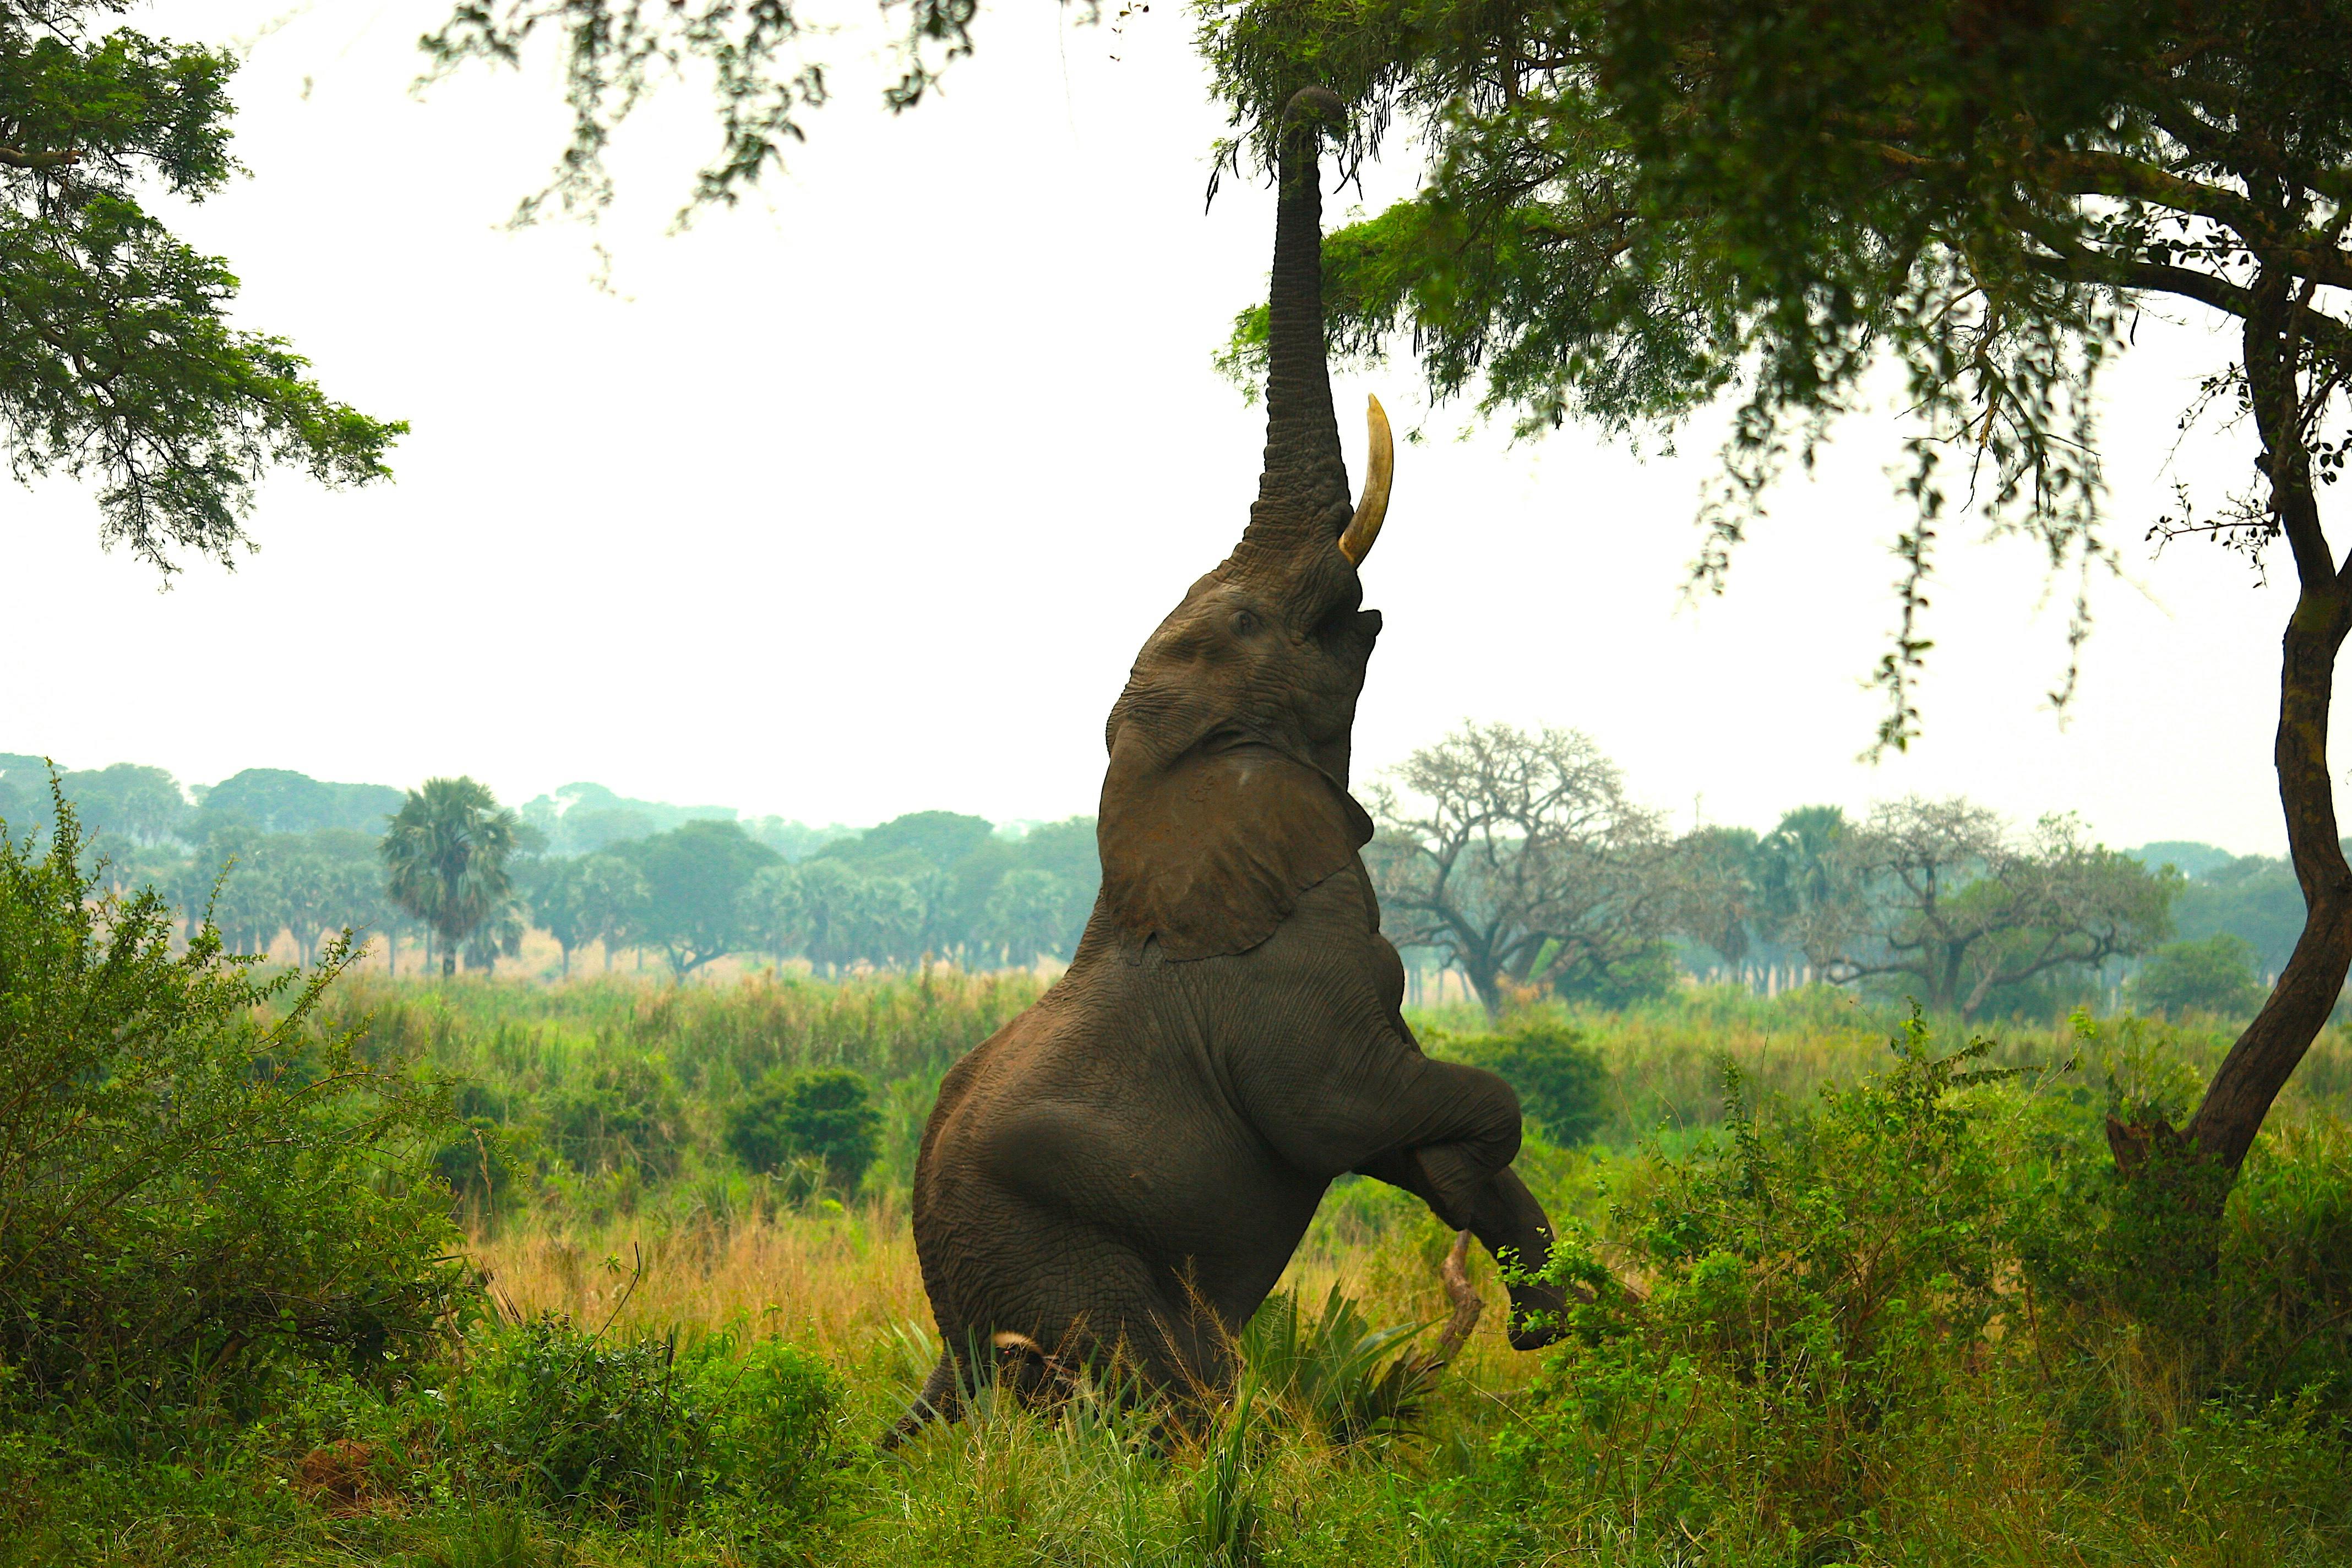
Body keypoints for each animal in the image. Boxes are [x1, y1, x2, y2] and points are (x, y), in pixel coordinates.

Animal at [891, 87, 1568, 1443]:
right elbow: (1370, 1107)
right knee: (1187, 1397)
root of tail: (951, 1329)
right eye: (1253, 621)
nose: (1312, 100)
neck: (1164, 778)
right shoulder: (1288, 995)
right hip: (1064, 1262)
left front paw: (1561, 1306)